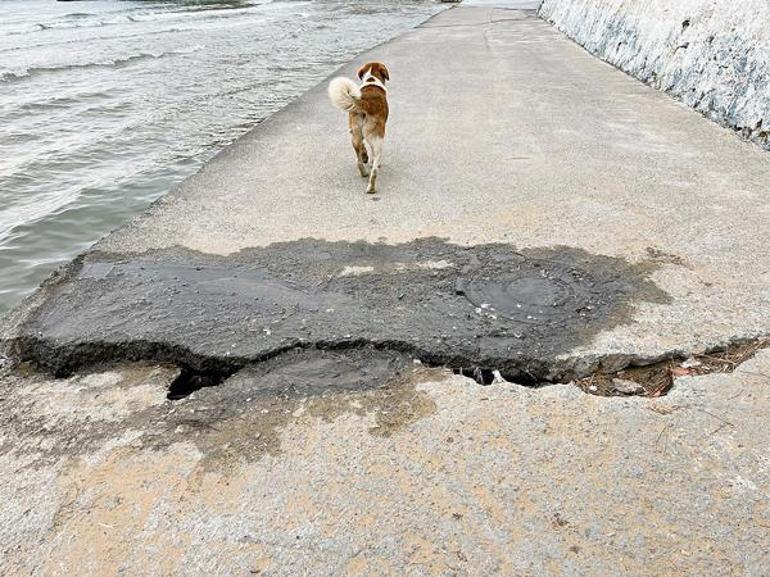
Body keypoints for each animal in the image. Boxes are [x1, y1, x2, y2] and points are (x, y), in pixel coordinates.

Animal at [326, 61, 388, 194]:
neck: (371, 80)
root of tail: (364, 103)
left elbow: (362, 147)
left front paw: (365, 156)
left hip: (355, 134)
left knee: (358, 159)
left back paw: (364, 171)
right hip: (378, 139)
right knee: (374, 168)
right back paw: (371, 186)